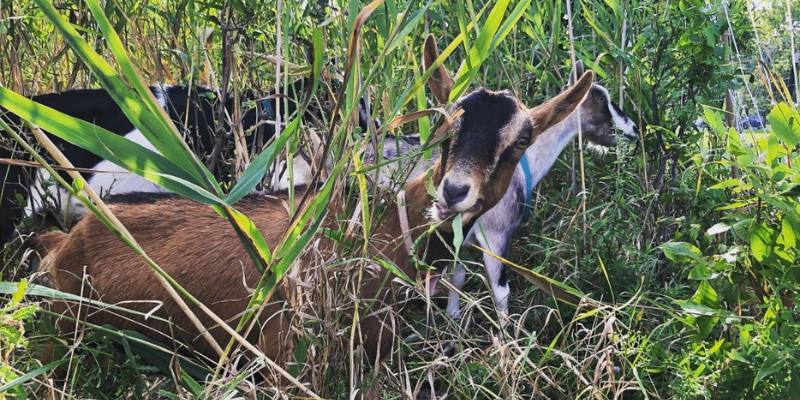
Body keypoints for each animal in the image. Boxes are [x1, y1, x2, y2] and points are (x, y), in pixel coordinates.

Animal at [32, 36, 592, 386]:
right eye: (445, 125)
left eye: (520, 143)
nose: (454, 191)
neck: (377, 229)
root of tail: (63, 243)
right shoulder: (284, 346)